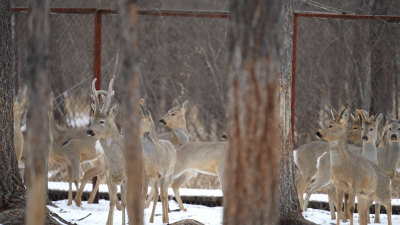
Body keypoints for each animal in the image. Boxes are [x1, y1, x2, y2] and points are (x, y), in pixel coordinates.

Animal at [86, 77, 127, 225]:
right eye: (93, 119)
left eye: (102, 121)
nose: (89, 131)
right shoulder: (110, 176)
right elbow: (112, 201)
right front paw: (109, 222)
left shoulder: (127, 177)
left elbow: (125, 202)